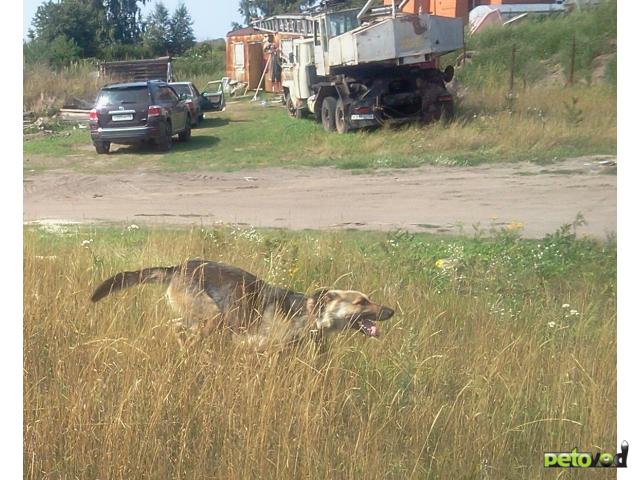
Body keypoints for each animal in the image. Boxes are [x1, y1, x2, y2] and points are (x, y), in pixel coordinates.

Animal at [89, 258, 392, 348]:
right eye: (361, 302)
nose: (391, 311)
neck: (310, 315)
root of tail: (178, 267)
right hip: (214, 317)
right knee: (184, 330)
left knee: (177, 326)